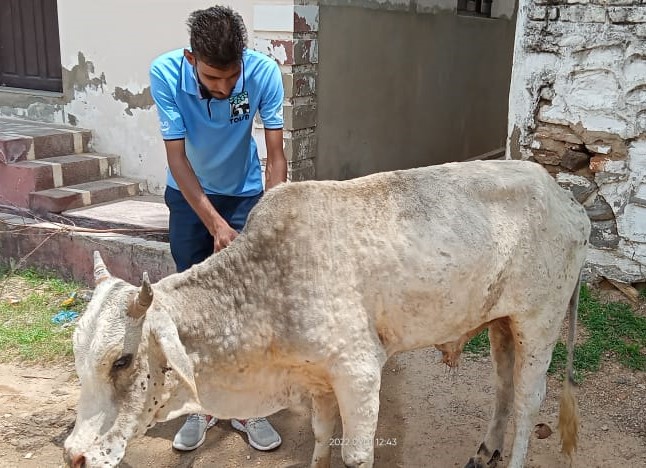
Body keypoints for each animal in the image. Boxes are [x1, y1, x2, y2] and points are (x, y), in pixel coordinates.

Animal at [62, 160, 592, 468]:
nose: (74, 456)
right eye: (79, 359)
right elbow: (320, 435)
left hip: (539, 321)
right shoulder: (316, 376)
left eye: (122, 361)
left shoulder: (359, 373)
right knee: (503, 386)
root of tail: (568, 199)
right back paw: (484, 452)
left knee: (528, 401)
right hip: (502, 322)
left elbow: (355, 454)